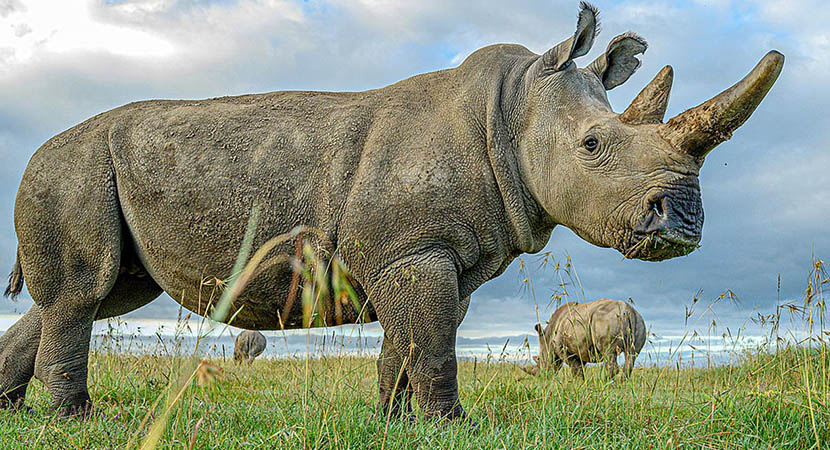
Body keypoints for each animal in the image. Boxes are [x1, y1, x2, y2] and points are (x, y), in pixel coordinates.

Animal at [0, 1, 784, 420]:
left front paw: (394, 421)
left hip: (88, 172)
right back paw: (78, 419)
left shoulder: (434, 256)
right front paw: (451, 426)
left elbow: (409, 340)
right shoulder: (416, 248)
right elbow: (432, 340)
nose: (682, 225)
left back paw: (17, 412)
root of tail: (39, 151)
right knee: (84, 294)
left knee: (99, 293)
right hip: (71, 168)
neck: (515, 108)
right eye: (594, 145)